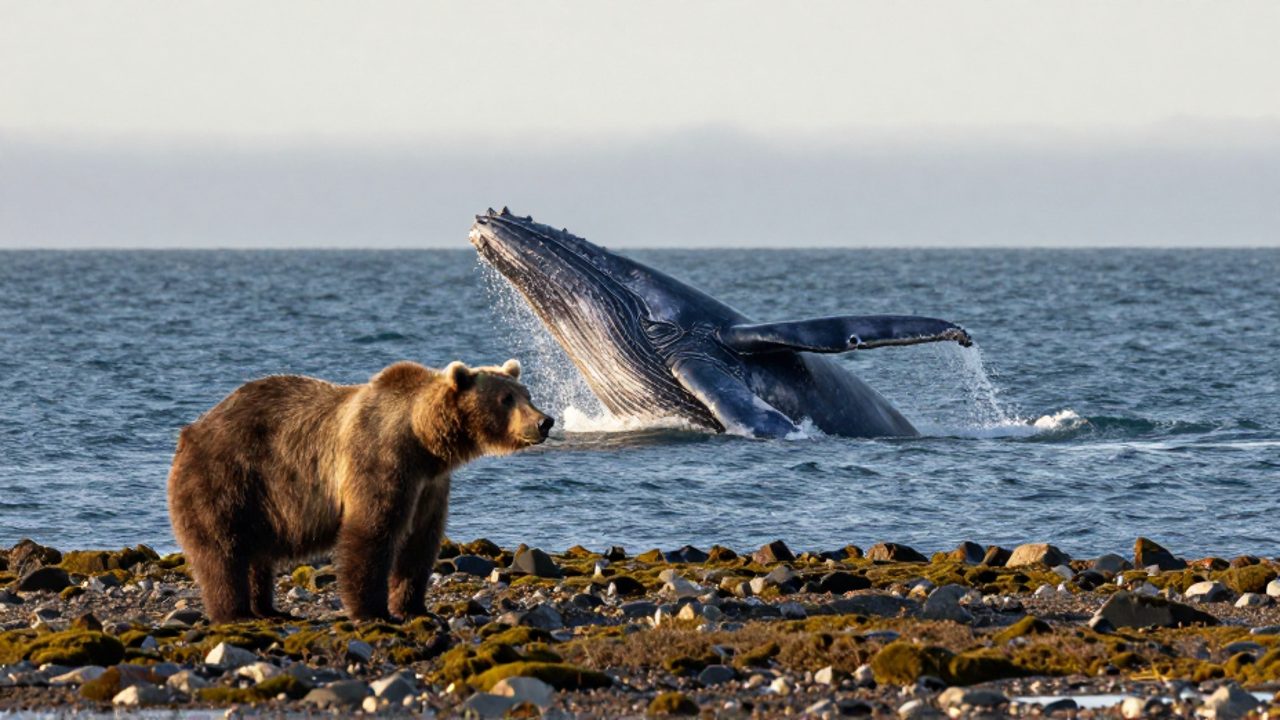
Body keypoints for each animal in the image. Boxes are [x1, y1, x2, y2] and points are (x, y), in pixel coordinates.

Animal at [167, 358, 552, 622]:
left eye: (527, 394)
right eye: (505, 398)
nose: (543, 421)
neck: (424, 442)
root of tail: (191, 430)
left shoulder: (430, 487)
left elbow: (420, 543)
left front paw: (415, 607)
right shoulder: (380, 459)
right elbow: (372, 532)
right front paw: (373, 610)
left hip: (261, 500)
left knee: (257, 555)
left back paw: (268, 609)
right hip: (225, 479)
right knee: (222, 550)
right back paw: (235, 612)